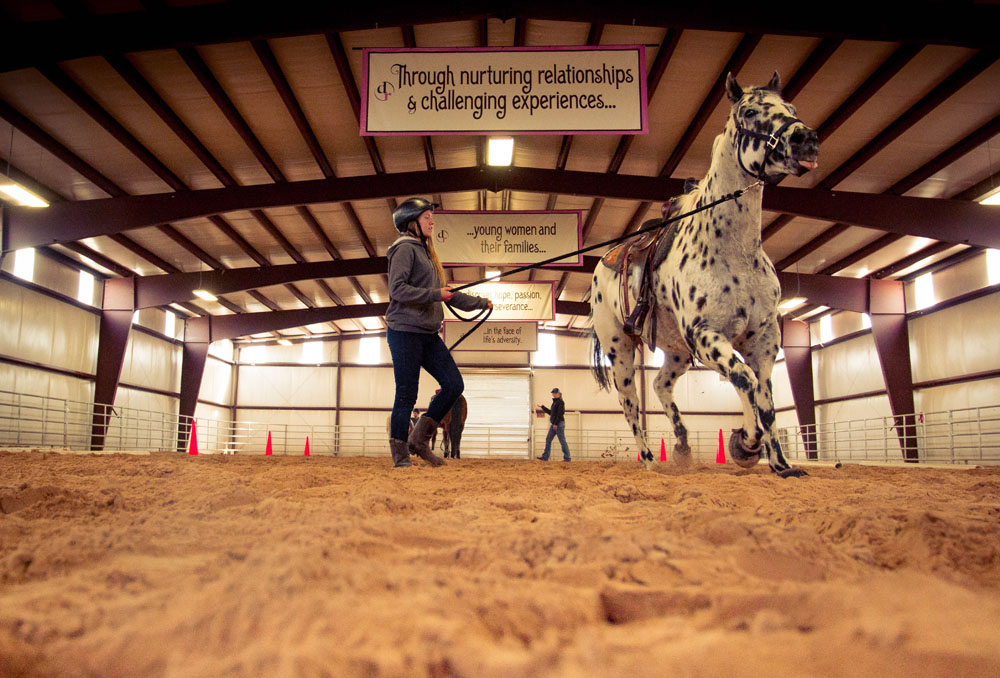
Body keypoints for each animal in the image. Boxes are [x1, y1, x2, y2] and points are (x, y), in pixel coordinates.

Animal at [588, 73, 816, 478]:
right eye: (750, 111)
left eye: (790, 107)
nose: (805, 137)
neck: (736, 251)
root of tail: (605, 263)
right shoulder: (706, 335)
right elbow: (744, 379)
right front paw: (746, 443)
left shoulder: (763, 341)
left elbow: (766, 399)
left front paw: (782, 464)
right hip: (622, 351)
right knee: (630, 403)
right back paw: (650, 460)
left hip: (677, 352)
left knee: (661, 385)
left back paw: (681, 444)